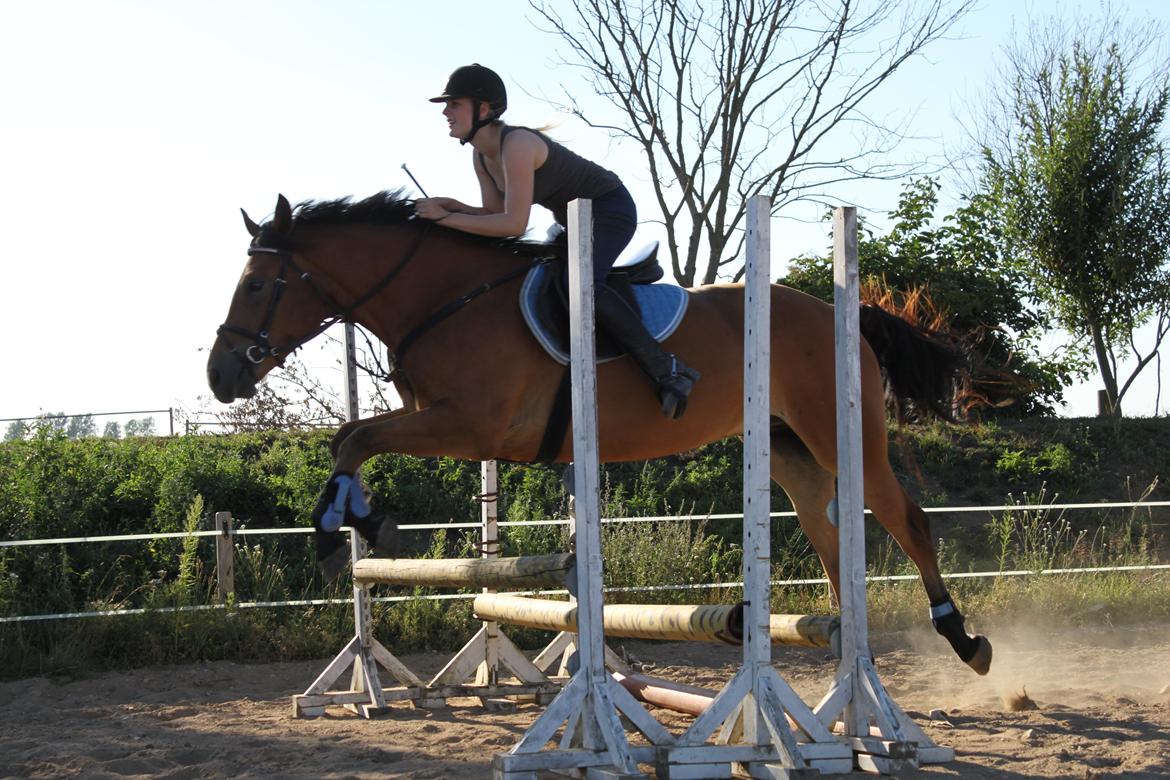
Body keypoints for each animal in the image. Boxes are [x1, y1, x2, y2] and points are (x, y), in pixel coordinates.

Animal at [205, 191, 992, 673]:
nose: (219, 376)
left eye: (256, 285)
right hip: (788, 447)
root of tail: (841, 311)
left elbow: (357, 436)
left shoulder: (471, 425)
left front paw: (346, 529)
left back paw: (962, 640)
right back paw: (831, 644)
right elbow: (351, 436)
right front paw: (353, 522)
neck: (447, 298)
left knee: (905, 518)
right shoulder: (458, 428)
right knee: (828, 534)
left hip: (841, 435)